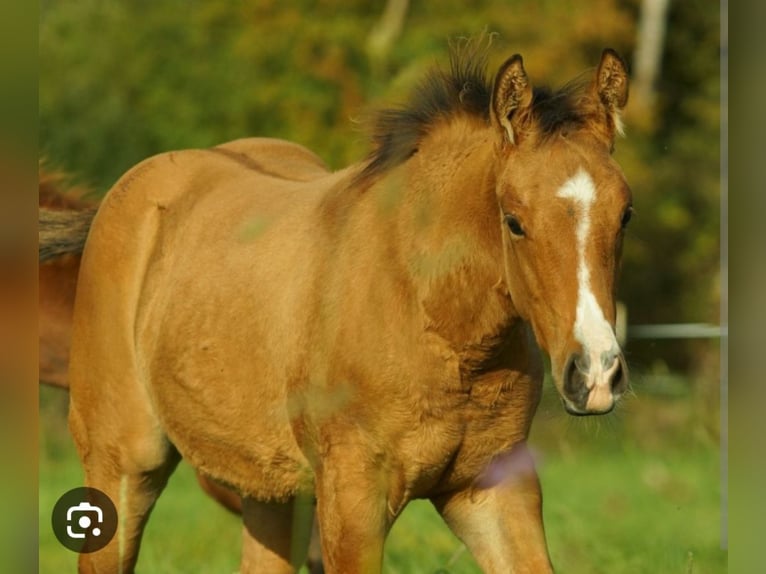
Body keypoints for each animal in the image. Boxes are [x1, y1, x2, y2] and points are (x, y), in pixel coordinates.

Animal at [43, 42, 636, 572]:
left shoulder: (494, 488)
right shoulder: (354, 500)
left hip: (272, 490)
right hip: (123, 464)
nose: (595, 373)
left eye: (625, 214)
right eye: (514, 220)